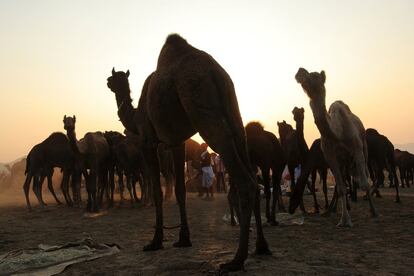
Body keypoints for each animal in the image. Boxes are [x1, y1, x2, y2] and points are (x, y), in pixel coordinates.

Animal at [105, 33, 270, 270]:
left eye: (115, 78)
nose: (107, 81)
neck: (136, 116)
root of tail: (214, 72)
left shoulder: (148, 140)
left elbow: (157, 191)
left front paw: (155, 241)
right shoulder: (177, 142)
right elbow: (181, 190)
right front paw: (183, 238)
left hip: (201, 106)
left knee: (245, 180)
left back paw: (236, 260)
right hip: (233, 110)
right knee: (251, 171)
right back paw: (262, 247)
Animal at [294, 67, 378, 226]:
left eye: (314, 75)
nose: (300, 71)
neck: (337, 133)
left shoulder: (357, 150)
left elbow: (364, 182)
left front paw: (374, 212)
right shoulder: (330, 157)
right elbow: (340, 188)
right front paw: (344, 220)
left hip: (364, 147)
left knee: (366, 176)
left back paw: (372, 209)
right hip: (344, 162)